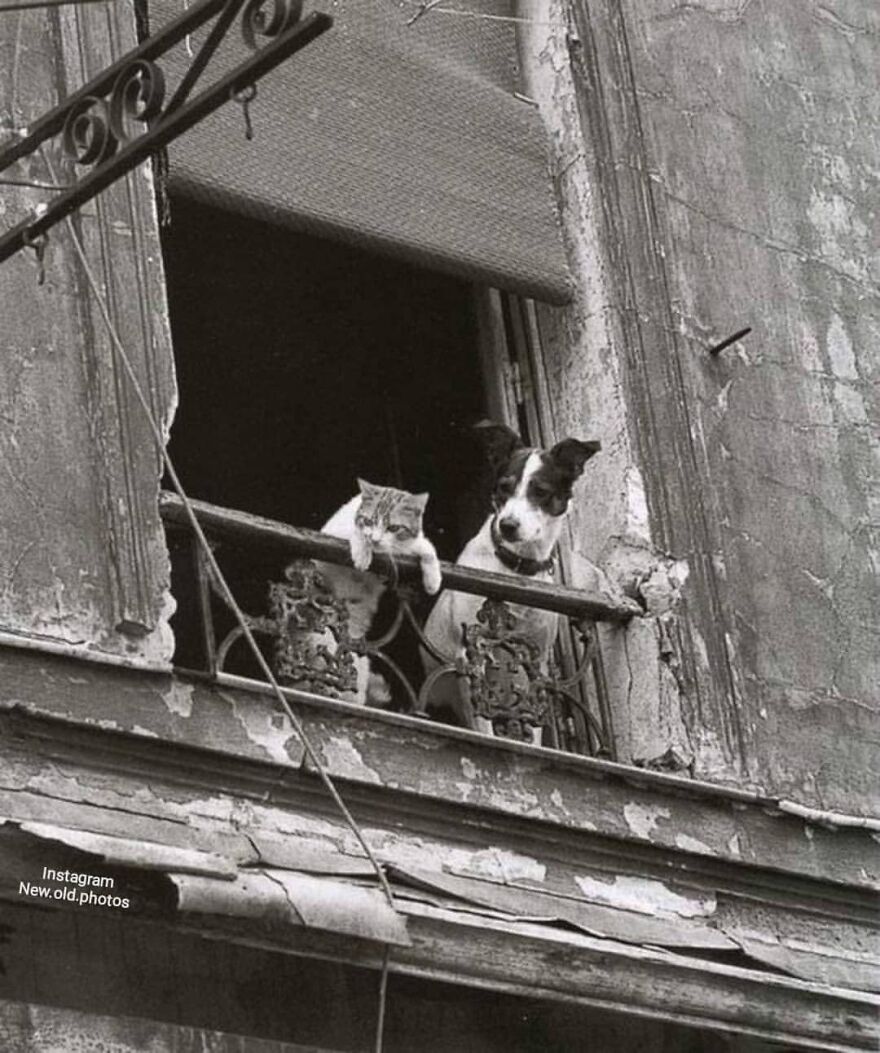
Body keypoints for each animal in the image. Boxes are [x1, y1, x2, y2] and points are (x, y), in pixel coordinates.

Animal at [313, 482, 444, 703]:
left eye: (394, 528)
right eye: (368, 521)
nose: (375, 539)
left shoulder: (409, 543)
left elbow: (426, 547)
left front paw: (433, 579)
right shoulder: (330, 538)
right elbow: (355, 535)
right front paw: (362, 552)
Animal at [423, 419, 602, 741]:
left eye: (540, 491)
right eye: (504, 488)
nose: (507, 525)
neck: (516, 571)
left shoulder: (535, 662)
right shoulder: (470, 655)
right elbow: (483, 723)